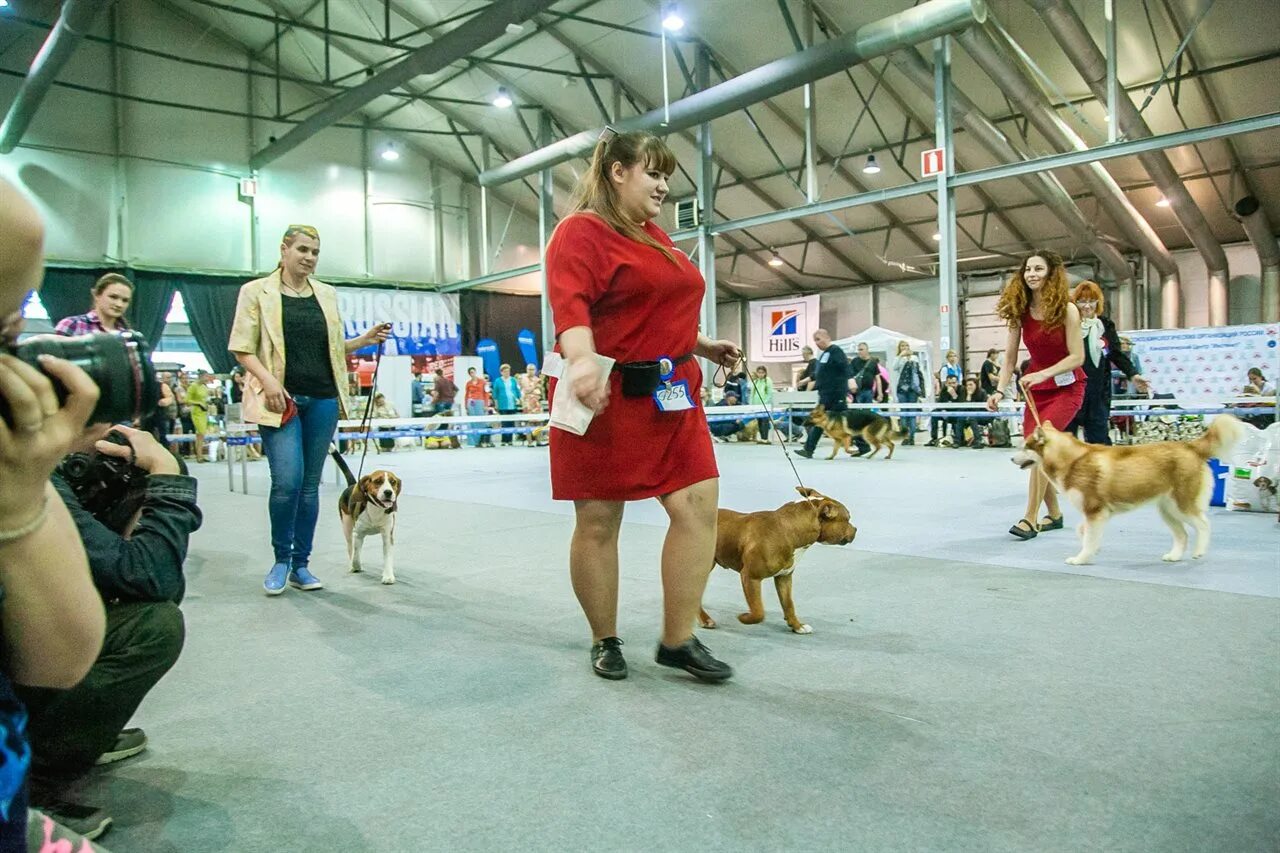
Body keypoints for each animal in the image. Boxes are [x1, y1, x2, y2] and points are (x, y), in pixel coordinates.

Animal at [701, 484, 860, 630]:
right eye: (848, 519)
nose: (856, 528)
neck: (788, 530)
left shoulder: (784, 577)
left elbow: (788, 604)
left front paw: (797, 626)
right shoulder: (750, 576)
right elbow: (758, 611)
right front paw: (745, 617)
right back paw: (705, 620)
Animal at [1008, 412, 1239, 560]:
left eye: (1025, 446)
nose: (1011, 458)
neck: (1071, 460)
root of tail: (1190, 445)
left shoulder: (1094, 510)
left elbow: (1088, 537)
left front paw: (1081, 558)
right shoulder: (1097, 514)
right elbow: (1084, 532)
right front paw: (1093, 550)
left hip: (1181, 505)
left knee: (1203, 524)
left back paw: (1199, 551)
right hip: (1167, 510)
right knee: (1182, 535)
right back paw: (1173, 556)